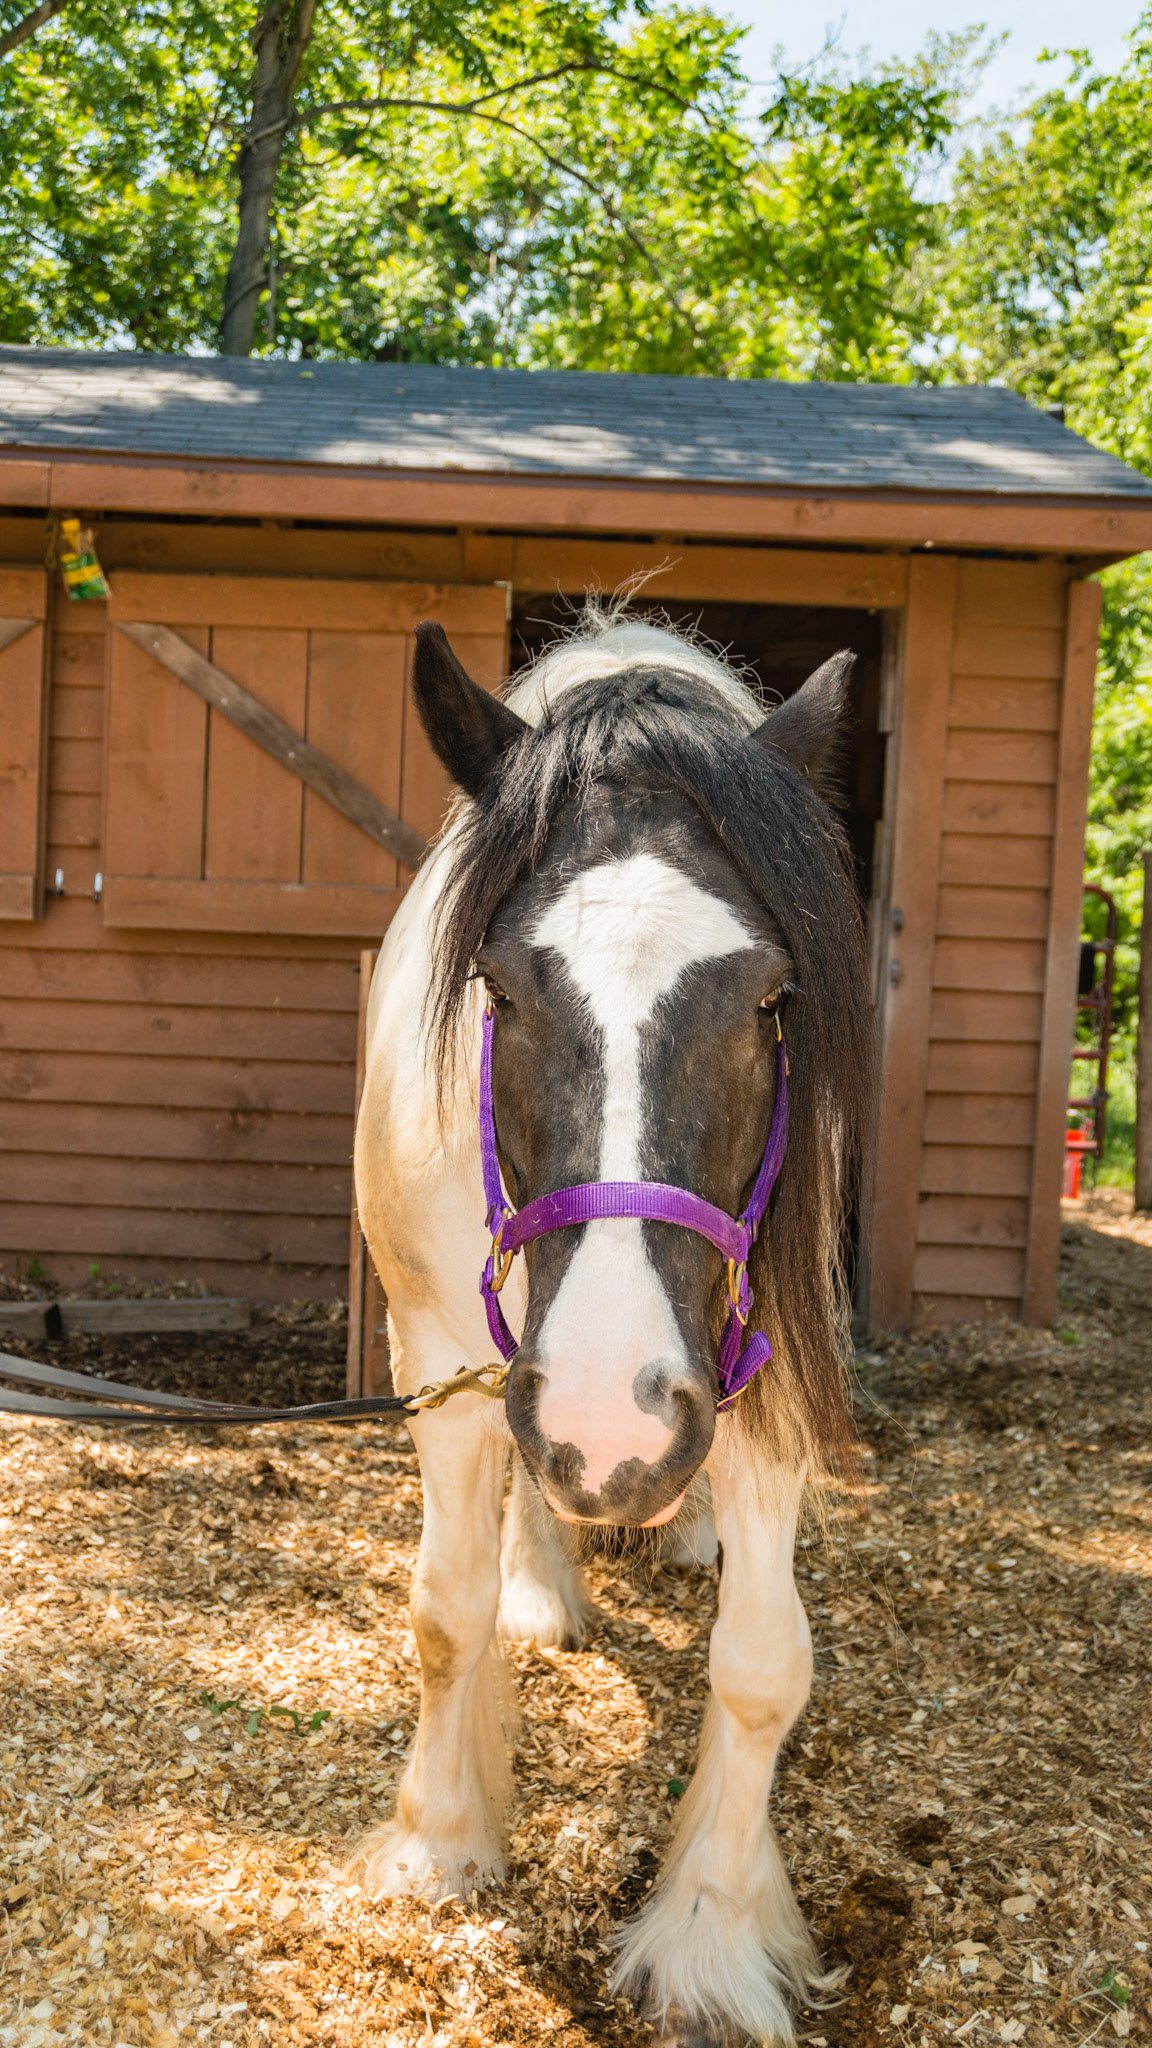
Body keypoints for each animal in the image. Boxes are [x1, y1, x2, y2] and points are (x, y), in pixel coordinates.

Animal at [349, 607, 874, 2048]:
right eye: (501, 989)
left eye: (771, 999)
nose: (610, 1413)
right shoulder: (442, 1357)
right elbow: (445, 1605)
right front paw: (441, 1838)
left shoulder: (767, 1376)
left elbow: (762, 1665)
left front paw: (712, 1935)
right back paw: (548, 1582)